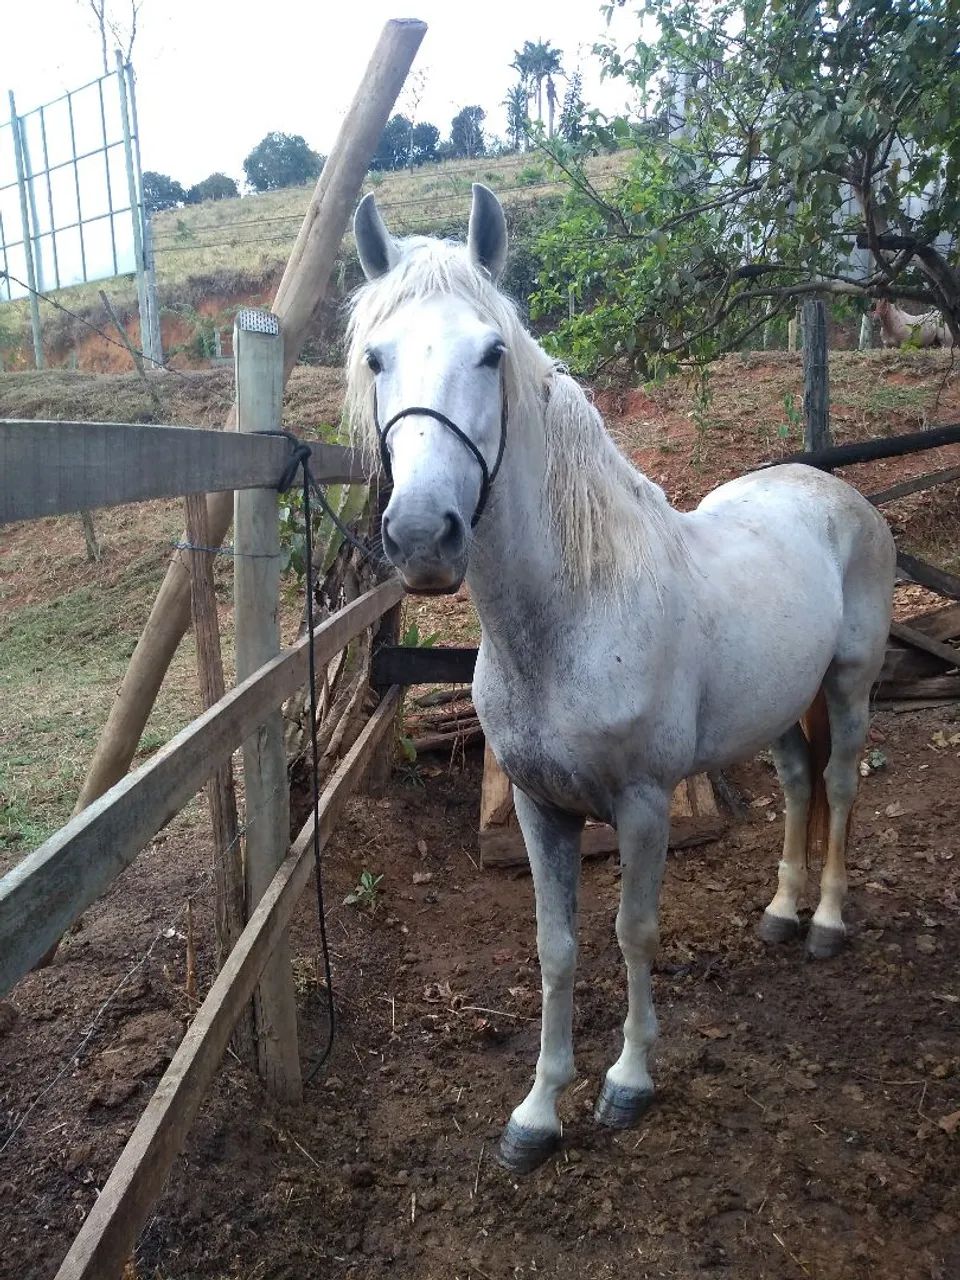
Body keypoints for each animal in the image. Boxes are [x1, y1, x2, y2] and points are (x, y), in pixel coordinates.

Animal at [348, 184, 897, 1175]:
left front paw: (630, 1082)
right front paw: (537, 1112)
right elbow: (557, 947)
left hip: (848, 686)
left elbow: (633, 932)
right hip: (777, 709)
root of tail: (834, 492)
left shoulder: (642, 804)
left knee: (839, 786)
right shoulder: (539, 808)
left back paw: (828, 923)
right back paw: (781, 913)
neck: (569, 618)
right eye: (376, 356)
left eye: (492, 353)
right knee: (802, 785)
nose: (420, 537)